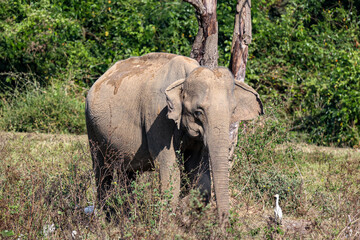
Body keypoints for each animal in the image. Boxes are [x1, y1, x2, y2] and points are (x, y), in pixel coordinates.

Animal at [86, 52, 262, 225]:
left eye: (233, 110)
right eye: (198, 112)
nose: (223, 227)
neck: (187, 75)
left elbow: (199, 172)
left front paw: (183, 213)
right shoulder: (158, 116)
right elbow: (170, 169)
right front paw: (168, 224)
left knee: (127, 174)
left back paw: (127, 220)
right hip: (92, 127)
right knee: (102, 171)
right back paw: (105, 221)